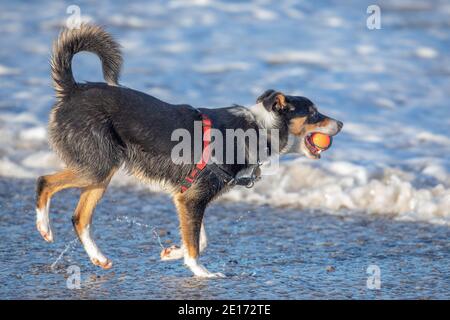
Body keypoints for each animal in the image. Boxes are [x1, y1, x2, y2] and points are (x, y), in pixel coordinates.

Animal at [36, 24, 344, 278]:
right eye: (314, 113)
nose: (341, 123)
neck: (259, 128)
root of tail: (73, 90)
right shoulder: (194, 197)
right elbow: (196, 244)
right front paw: (201, 272)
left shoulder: (188, 196)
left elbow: (198, 238)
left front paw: (173, 252)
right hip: (98, 165)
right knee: (45, 182)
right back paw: (44, 227)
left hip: (101, 172)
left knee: (80, 218)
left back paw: (98, 258)